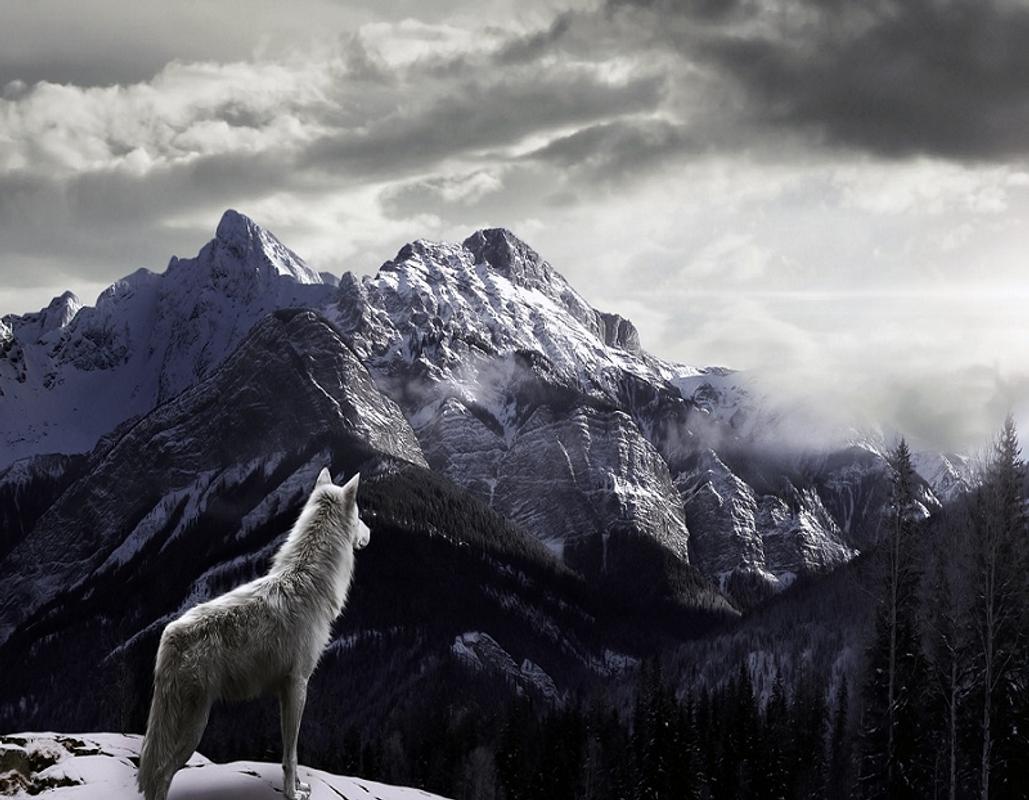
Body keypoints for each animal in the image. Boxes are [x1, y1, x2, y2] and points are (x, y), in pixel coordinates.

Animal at [136, 467, 370, 798]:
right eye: (360, 515)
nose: (370, 532)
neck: (309, 580)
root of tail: (170, 635)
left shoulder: (285, 691)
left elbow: (288, 752)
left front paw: (298, 786)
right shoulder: (298, 684)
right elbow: (292, 754)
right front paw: (292, 793)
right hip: (193, 728)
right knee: (160, 775)